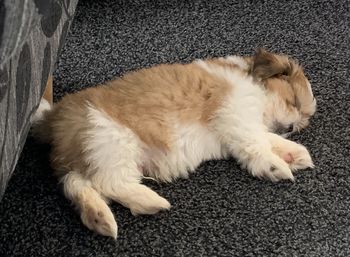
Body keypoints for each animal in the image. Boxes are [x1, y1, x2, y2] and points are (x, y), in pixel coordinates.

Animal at [32, 48, 318, 238]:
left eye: (301, 123)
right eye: (293, 101)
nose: (291, 128)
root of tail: (53, 117)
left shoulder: (239, 128)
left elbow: (266, 137)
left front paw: (292, 152)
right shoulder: (235, 113)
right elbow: (257, 142)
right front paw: (275, 164)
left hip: (91, 151)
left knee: (75, 183)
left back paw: (98, 217)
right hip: (111, 139)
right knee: (107, 182)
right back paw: (148, 200)